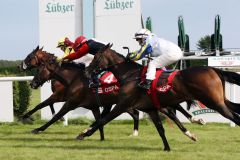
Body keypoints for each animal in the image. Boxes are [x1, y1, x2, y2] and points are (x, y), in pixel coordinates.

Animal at [84, 43, 240, 151]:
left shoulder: (123, 104)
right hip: (220, 99)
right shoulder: (151, 108)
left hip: (213, 101)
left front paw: (83, 134)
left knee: (234, 116)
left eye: (96, 57)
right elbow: (161, 129)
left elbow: (103, 120)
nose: (87, 71)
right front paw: (167, 148)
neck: (130, 75)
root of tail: (213, 69)